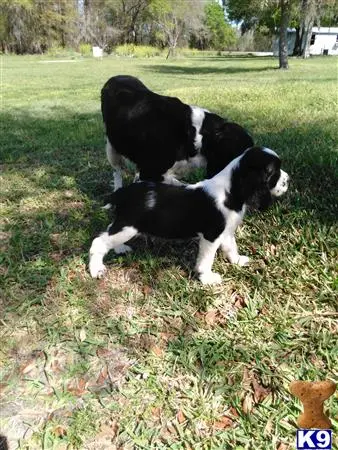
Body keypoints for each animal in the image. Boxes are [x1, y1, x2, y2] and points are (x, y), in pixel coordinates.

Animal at [88, 146, 290, 284]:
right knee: (98, 242)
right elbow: (207, 259)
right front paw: (207, 278)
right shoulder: (211, 236)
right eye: (274, 172)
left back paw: (120, 249)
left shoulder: (226, 231)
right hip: (128, 227)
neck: (231, 191)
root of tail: (123, 192)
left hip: (123, 225)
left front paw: (238, 261)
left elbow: (231, 247)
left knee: (108, 233)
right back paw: (96, 269)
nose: (288, 180)